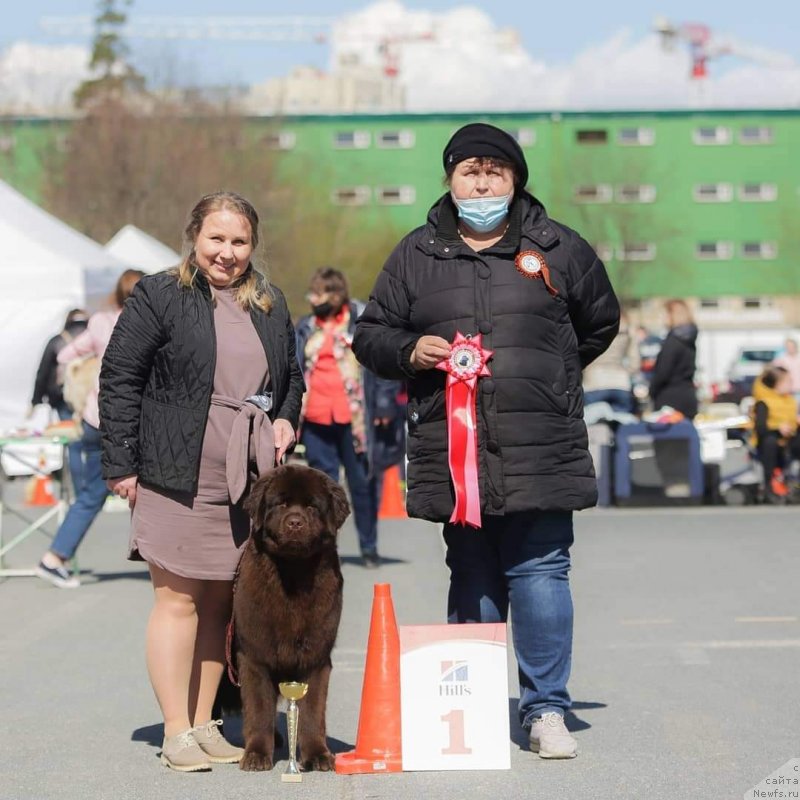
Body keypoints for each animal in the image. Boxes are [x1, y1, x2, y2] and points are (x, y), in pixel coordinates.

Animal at [227, 466, 348, 772]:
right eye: (280, 504)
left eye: (312, 507)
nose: (295, 523)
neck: (292, 574)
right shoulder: (254, 657)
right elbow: (258, 709)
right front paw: (257, 755)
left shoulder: (316, 658)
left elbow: (312, 712)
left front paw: (318, 755)